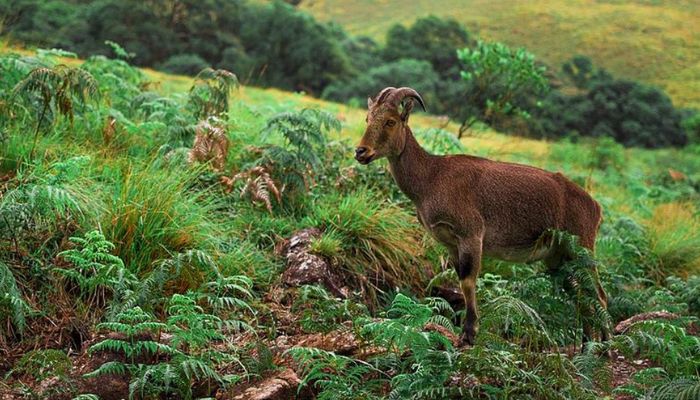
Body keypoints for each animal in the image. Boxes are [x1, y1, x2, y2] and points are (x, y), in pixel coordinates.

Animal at [356, 88, 608, 346]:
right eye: (367, 118)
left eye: (390, 121)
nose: (361, 152)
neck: (431, 178)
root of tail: (595, 207)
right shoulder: (451, 243)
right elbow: (460, 280)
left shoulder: (471, 234)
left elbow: (468, 281)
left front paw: (468, 334)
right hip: (558, 258)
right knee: (582, 296)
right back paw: (587, 345)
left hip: (581, 248)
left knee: (599, 295)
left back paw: (606, 345)